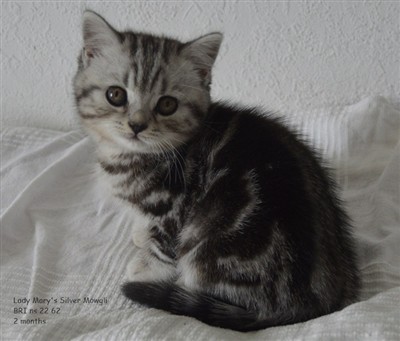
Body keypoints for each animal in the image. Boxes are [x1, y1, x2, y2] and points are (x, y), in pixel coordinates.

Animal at [74, 11, 360, 332]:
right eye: (115, 95)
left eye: (167, 104)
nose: (137, 125)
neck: (130, 156)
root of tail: (308, 305)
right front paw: (140, 234)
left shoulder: (173, 208)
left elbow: (164, 245)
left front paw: (146, 268)